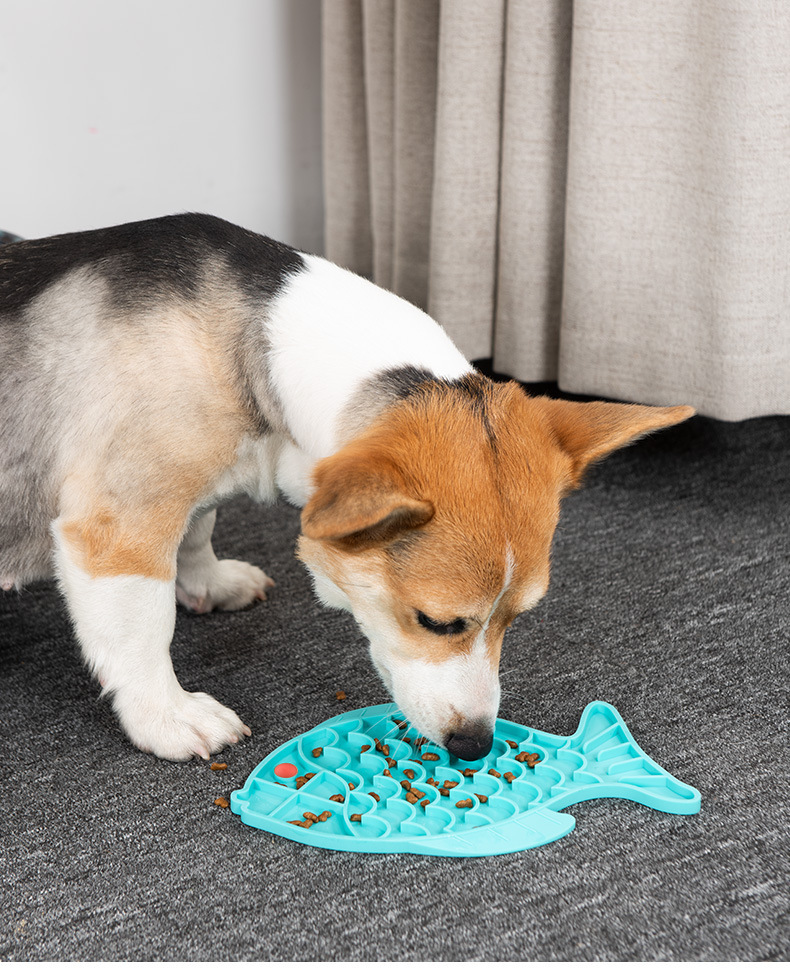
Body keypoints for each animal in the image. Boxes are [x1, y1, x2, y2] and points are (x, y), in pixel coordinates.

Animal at [0, 214, 692, 760]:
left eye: (518, 618)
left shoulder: (192, 485)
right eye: (436, 622)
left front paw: (207, 583)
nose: (475, 746)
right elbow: (143, 630)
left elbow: (199, 528)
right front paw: (167, 717)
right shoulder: (119, 528)